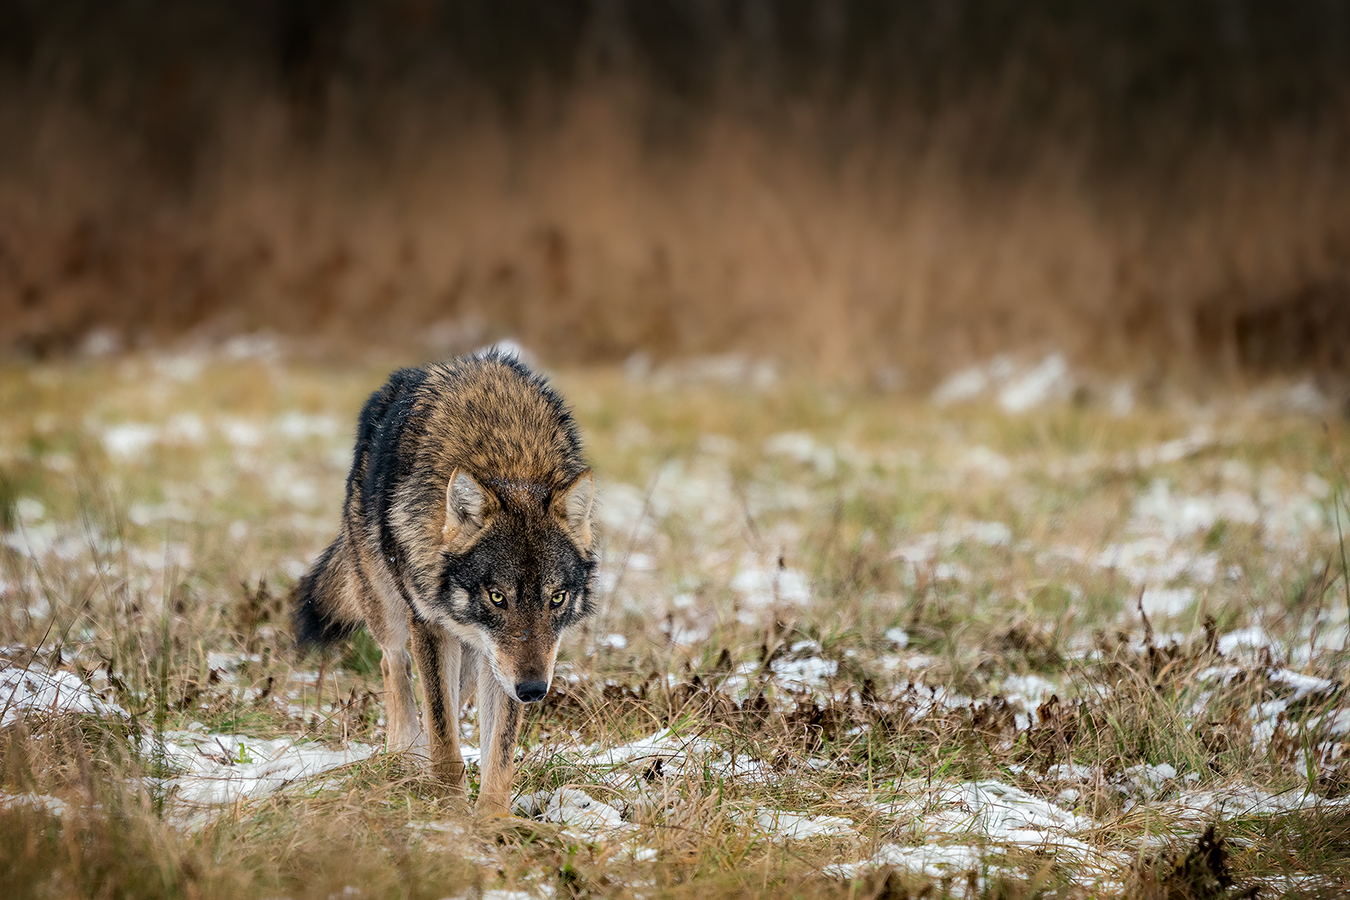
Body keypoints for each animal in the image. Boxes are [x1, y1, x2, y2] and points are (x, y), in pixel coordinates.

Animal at [292, 350, 594, 814]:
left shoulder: (501, 663)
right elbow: (444, 735)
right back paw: (406, 753)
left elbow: (499, 752)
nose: (533, 690)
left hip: (476, 659)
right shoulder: (431, 627)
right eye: (497, 597)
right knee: (393, 663)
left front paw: (491, 820)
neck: (507, 461)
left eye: (557, 598)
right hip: (388, 607)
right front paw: (449, 811)